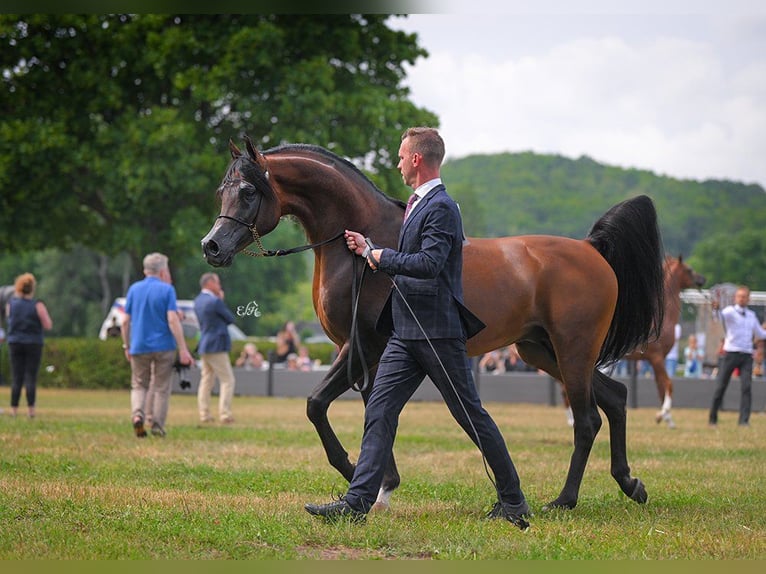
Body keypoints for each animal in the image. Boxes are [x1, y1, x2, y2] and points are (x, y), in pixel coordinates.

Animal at [202, 138, 664, 512]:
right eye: (221, 191)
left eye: (248, 191)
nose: (212, 247)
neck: (360, 242)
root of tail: (592, 251)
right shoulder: (364, 355)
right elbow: (374, 412)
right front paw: (381, 486)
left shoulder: (360, 345)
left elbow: (317, 404)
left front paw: (354, 472)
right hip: (542, 350)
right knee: (616, 398)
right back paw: (631, 484)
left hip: (573, 350)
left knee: (587, 420)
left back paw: (564, 500)